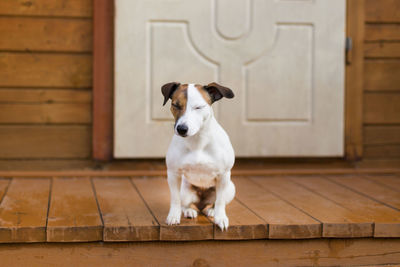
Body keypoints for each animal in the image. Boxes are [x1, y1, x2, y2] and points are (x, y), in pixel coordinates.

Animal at [162, 81, 236, 230]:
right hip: (185, 190)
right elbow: (175, 200)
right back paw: (189, 210)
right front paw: (173, 216)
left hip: (230, 188)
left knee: (216, 201)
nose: (182, 129)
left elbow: (220, 201)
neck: (197, 141)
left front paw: (220, 217)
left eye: (198, 107)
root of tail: (201, 205)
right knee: (185, 203)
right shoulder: (173, 174)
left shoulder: (224, 175)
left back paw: (211, 210)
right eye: (176, 105)